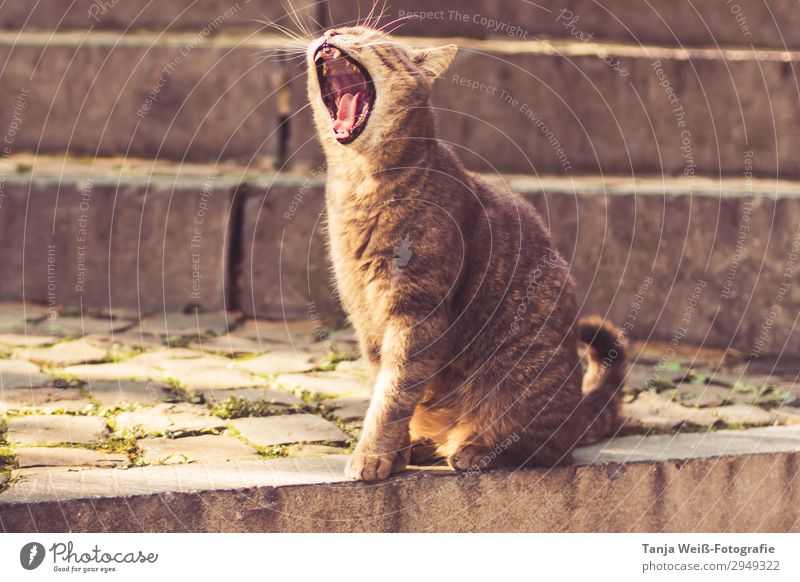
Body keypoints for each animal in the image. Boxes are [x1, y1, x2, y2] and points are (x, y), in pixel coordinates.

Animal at [306, 25, 624, 484]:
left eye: (364, 33)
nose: (332, 31)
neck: (356, 182)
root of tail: (575, 414)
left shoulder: (417, 311)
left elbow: (393, 394)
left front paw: (372, 456)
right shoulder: (365, 319)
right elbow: (384, 386)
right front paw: (395, 454)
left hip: (516, 377)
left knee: (545, 448)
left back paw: (475, 449)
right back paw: (426, 445)